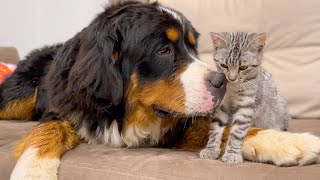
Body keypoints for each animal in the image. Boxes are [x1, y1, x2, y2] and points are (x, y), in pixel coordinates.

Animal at [201, 32, 292, 163]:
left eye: (243, 67)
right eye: (224, 65)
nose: (232, 78)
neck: (233, 89)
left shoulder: (245, 108)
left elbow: (236, 133)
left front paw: (232, 154)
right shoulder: (221, 107)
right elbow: (215, 129)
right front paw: (211, 149)